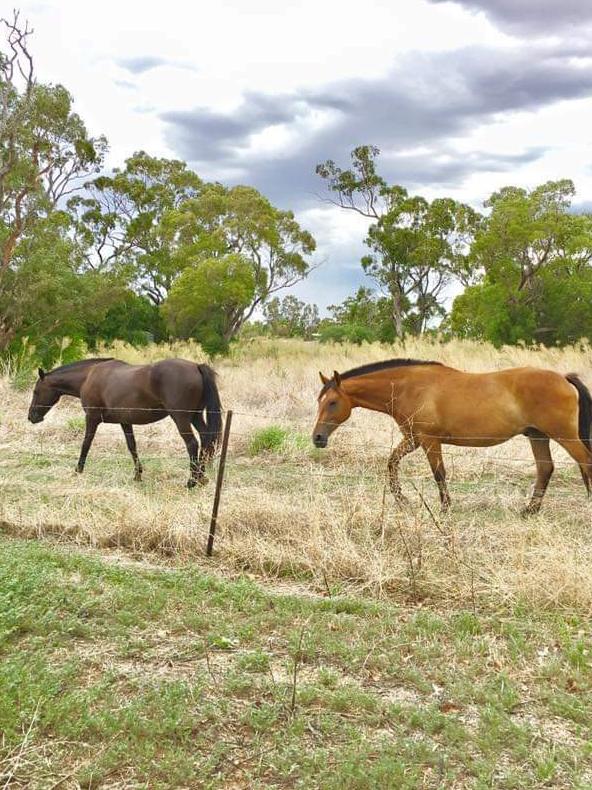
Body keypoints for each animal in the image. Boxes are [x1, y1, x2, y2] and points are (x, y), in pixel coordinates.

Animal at [27, 360, 224, 488]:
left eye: (36, 391)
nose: (31, 417)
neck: (88, 376)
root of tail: (196, 366)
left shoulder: (92, 418)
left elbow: (86, 444)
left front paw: (78, 470)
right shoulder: (125, 422)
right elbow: (132, 447)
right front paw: (137, 475)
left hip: (181, 419)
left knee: (192, 444)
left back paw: (192, 481)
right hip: (195, 417)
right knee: (206, 440)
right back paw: (202, 478)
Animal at [312, 360, 588, 520]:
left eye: (333, 402)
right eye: (320, 401)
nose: (317, 438)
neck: (409, 387)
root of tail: (563, 378)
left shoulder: (429, 441)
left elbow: (439, 474)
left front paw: (444, 510)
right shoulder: (412, 439)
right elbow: (391, 463)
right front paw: (402, 500)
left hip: (564, 436)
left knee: (585, 463)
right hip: (538, 436)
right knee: (545, 469)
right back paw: (529, 511)